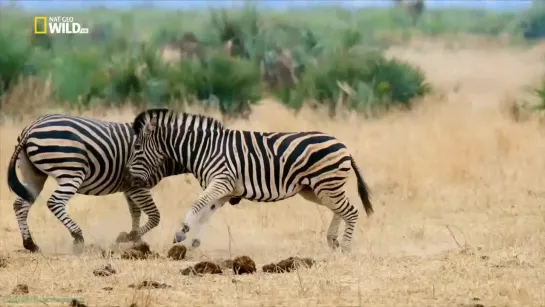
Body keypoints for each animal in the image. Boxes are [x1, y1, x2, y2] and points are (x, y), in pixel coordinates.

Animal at [3, 114, 238, 254]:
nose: (235, 199)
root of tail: (31, 126)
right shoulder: (138, 185)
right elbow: (154, 217)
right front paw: (130, 237)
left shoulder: (130, 187)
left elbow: (136, 213)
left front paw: (131, 237)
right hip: (71, 169)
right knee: (55, 202)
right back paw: (77, 237)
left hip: (33, 173)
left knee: (21, 204)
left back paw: (30, 244)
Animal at [125, 107, 372, 253]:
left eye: (136, 147)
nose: (127, 175)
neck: (204, 149)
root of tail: (343, 145)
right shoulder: (224, 190)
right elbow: (206, 213)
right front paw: (194, 243)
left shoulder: (221, 181)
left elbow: (197, 204)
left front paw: (182, 231)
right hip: (315, 189)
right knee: (339, 210)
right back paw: (332, 240)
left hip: (325, 185)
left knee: (350, 211)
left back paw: (345, 248)